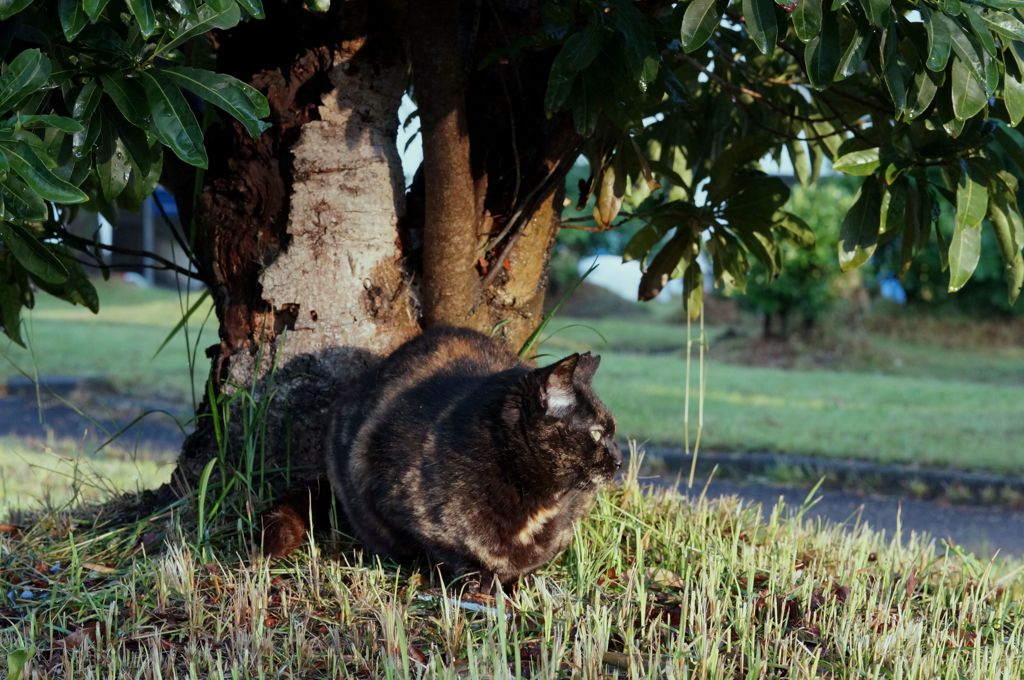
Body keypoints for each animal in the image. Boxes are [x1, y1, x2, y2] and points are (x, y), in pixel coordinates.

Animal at [319, 325, 618, 589]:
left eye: (613, 433)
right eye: (596, 434)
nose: (619, 462)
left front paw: (525, 580)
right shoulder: (396, 503)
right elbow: (445, 551)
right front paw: (478, 581)